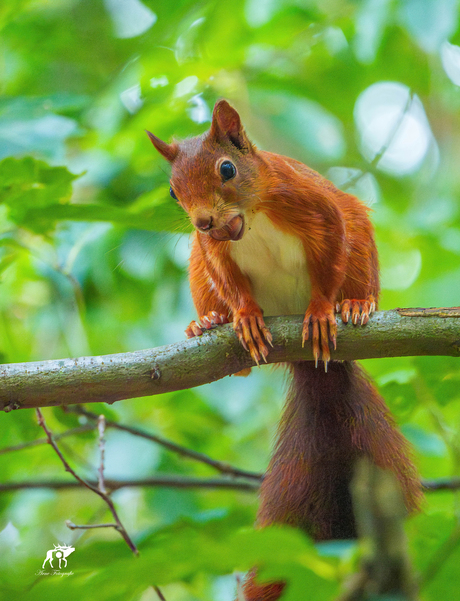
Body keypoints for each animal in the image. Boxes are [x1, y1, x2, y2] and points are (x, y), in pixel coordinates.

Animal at [146, 101, 420, 596]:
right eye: (173, 192)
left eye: (227, 169)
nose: (202, 221)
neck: (247, 219)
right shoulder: (212, 250)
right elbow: (232, 284)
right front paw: (245, 317)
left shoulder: (315, 205)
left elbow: (330, 255)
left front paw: (322, 310)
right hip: (196, 263)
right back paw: (209, 323)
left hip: (361, 244)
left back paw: (355, 306)